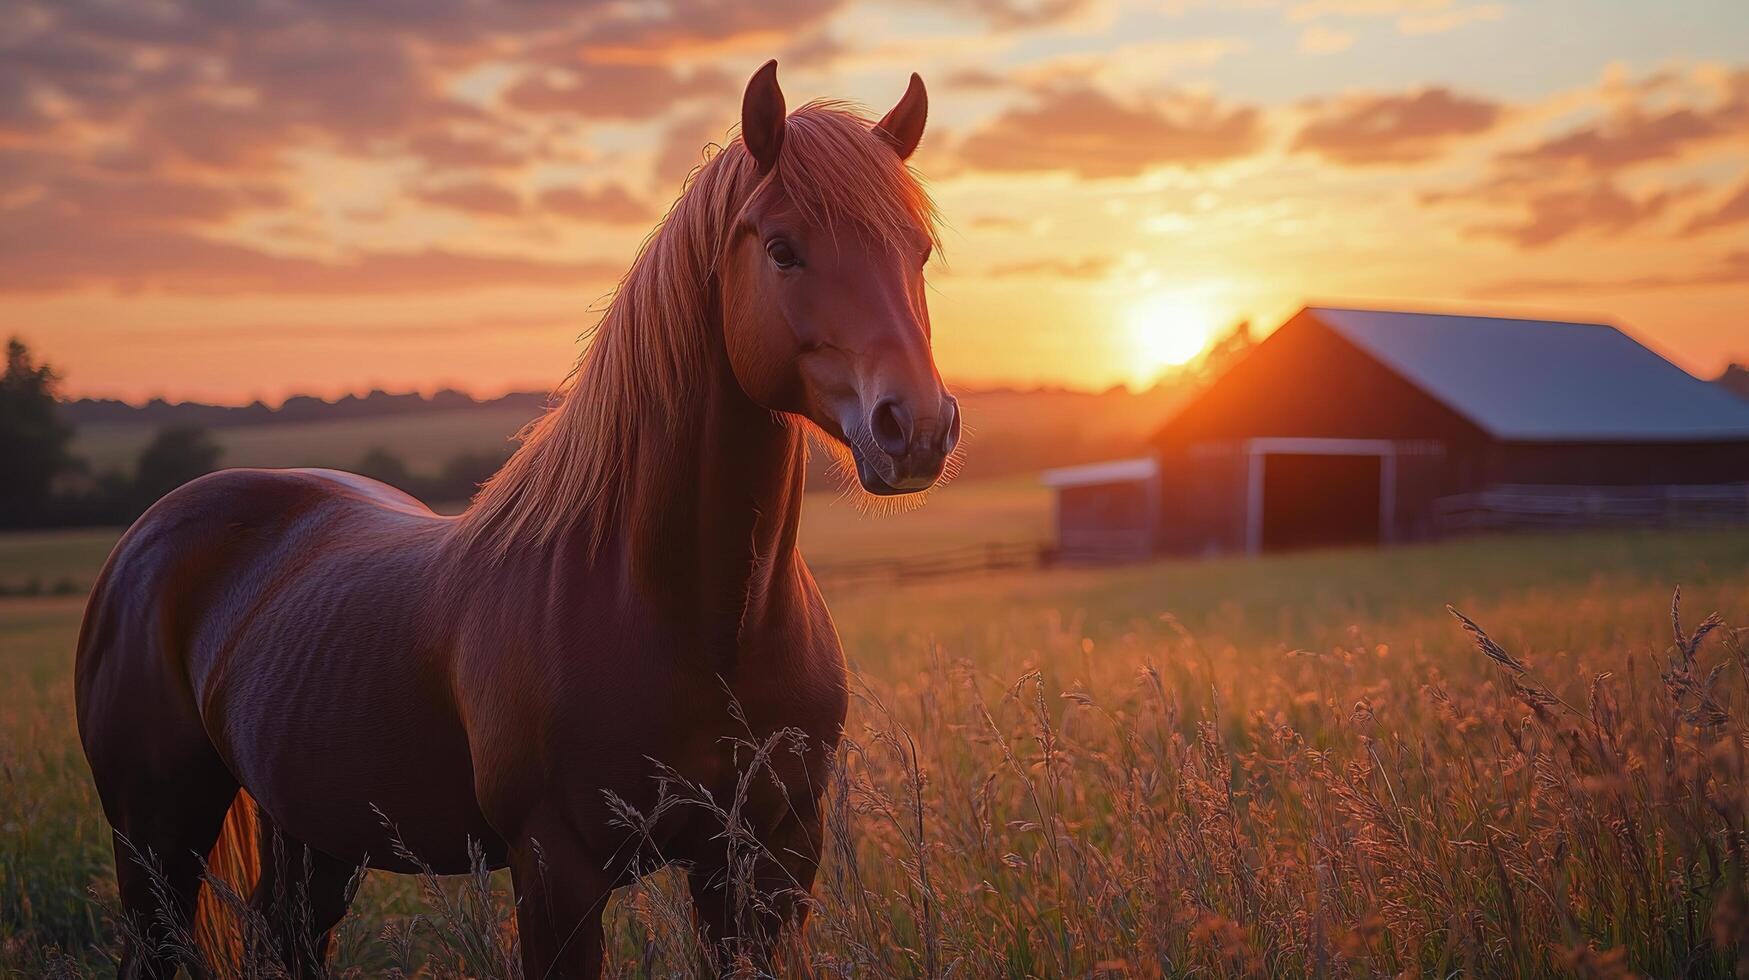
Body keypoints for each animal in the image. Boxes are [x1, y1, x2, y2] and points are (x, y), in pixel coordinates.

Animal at [75, 60, 956, 979]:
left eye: (917, 251)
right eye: (783, 249)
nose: (917, 428)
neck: (694, 615)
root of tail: (151, 534)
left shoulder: (767, 860)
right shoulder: (555, 869)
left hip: (310, 830)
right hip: (156, 838)